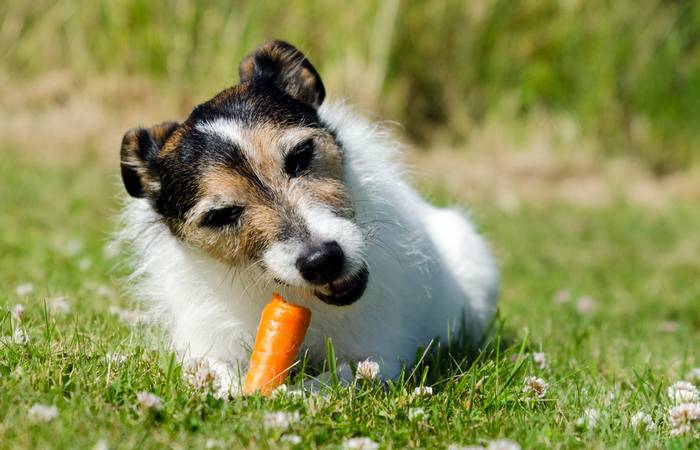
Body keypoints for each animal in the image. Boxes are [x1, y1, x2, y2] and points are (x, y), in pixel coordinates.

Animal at [119, 41, 498, 394]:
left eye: (301, 155)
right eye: (221, 215)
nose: (323, 260)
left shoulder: (380, 355)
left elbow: (338, 378)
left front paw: (294, 394)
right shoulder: (205, 345)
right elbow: (211, 370)